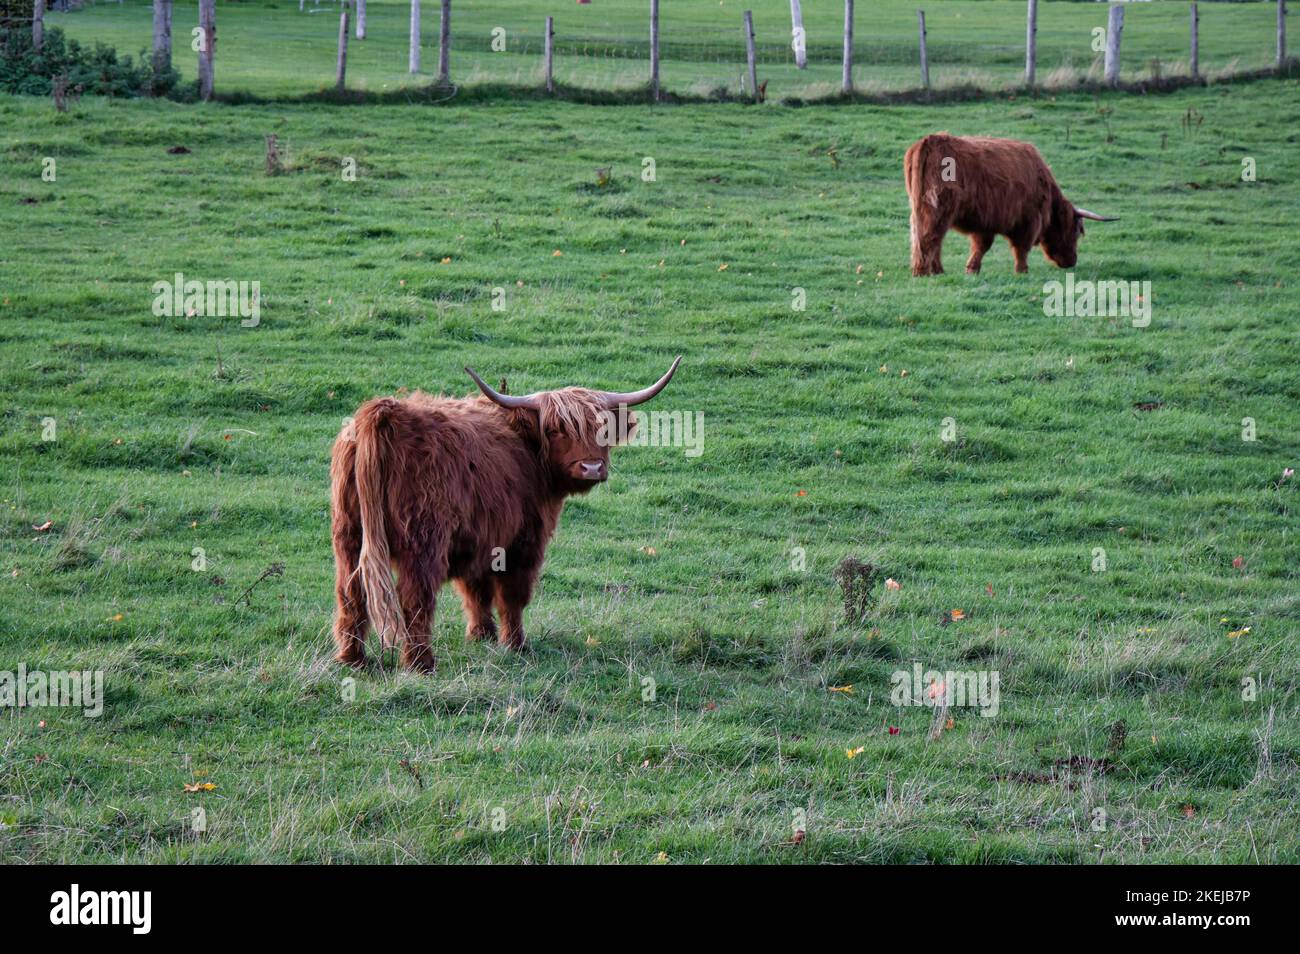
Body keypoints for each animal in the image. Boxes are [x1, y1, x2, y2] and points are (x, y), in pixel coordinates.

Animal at [329, 358, 681, 672]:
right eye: (556, 430)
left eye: (603, 429)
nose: (592, 467)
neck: (527, 447)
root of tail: (387, 413)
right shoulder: (524, 539)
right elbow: (512, 595)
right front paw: (515, 644)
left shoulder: (480, 537)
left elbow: (476, 590)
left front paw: (480, 635)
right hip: (423, 540)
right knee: (415, 597)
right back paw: (421, 664)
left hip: (349, 534)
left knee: (351, 592)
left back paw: (352, 659)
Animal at [904, 133, 1116, 276]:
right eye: (1076, 231)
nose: (1072, 262)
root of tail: (930, 140)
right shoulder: (1028, 220)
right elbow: (1021, 247)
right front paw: (1022, 271)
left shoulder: (986, 221)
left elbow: (981, 247)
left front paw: (972, 269)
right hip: (937, 208)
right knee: (929, 236)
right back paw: (923, 272)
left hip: (921, 207)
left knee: (928, 237)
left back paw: (938, 270)